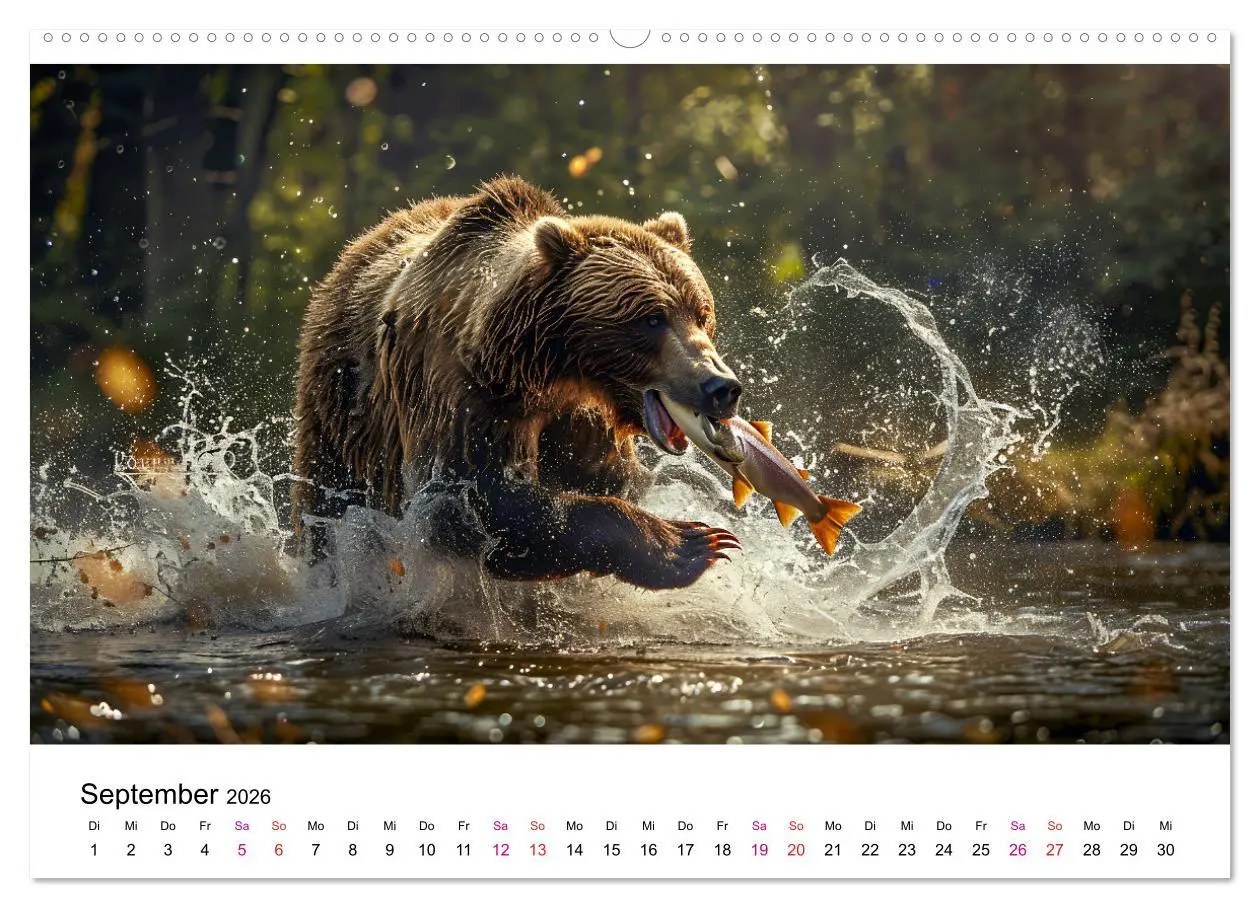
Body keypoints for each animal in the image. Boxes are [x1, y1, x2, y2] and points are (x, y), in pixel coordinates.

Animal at [293, 176, 744, 589]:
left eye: (702, 313)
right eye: (652, 318)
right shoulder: (462, 394)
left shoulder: (582, 418)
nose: (719, 386)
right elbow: (472, 503)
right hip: (342, 409)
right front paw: (690, 542)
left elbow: (614, 477)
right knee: (331, 502)